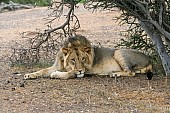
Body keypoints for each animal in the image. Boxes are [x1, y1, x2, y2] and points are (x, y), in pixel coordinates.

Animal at [23, 34, 153, 79]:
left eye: (83, 59)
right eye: (73, 60)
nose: (80, 70)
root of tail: (149, 59)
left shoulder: (85, 70)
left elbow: (68, 74)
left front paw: (56, 75)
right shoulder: (56, 66)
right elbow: (43, 70)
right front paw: (29, 75)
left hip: (118, 52)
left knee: (131, 72)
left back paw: (115, 74)